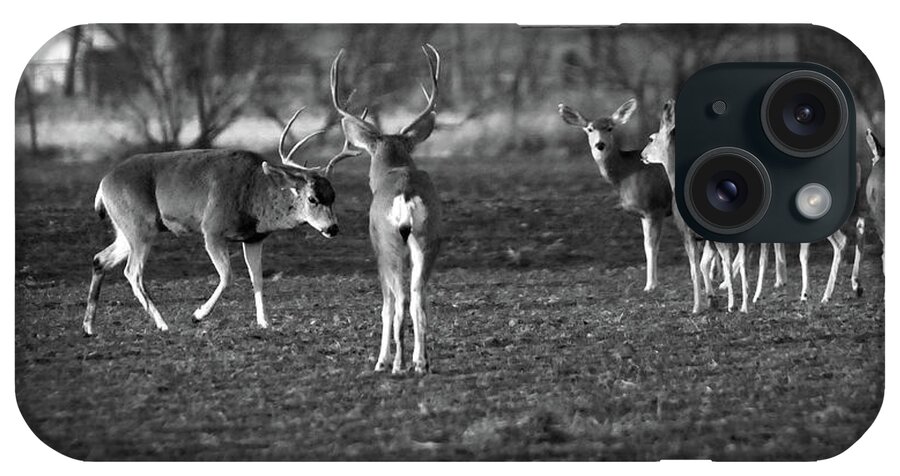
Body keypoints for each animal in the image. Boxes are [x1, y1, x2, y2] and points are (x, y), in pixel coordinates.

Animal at [83, 109, 342, 336]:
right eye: (312, 198)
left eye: (333, 196)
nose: (332, 228)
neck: (254, 193)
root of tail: (103, 184)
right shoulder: (212, 229)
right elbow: (227, 276)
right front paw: (197, 314)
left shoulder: (253, 238)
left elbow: (257, 277)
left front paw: (264, 322)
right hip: (139, 227)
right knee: (132, 272)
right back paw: (163, 324)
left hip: (126, 230)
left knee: (100, 259)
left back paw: (89, 326)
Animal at [328, 44, 444, 374]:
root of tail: (405, 196)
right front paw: (419, 359)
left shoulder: (377, 248)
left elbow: (386, 308)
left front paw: (381, 360)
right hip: (427, 239)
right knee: (418, 298)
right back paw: (420, 362)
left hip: (390, 244)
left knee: (401, 300)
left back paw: (397, 364)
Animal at [560, 99, 672, 292]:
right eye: (590, 129)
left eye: (610, 128)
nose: (600, 145)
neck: (626, 173)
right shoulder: (643, 213)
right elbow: (645, 245)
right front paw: (651, 283)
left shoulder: (654, 207)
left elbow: (652, 246)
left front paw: (650, 285)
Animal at [640, 99, 752, 312]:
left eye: (651, 139)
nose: (642, 155)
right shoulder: (703, 238)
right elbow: (704, 265)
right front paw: (711, 299)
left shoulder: (687, 233)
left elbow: (695, 269)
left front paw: (697, 306)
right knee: (740, 258)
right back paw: (743, 305)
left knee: (730, 259)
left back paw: (732, 304)